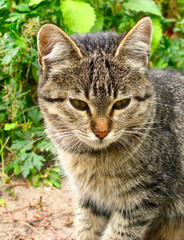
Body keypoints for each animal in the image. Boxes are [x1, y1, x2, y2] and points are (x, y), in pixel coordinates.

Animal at [36, 17, 183, 240]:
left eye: (121, 103)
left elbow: (117, 233)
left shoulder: (144, 195)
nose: (101, 132)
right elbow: (86, 227)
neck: (90, 158)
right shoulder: (88, 197)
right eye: (78, 104)